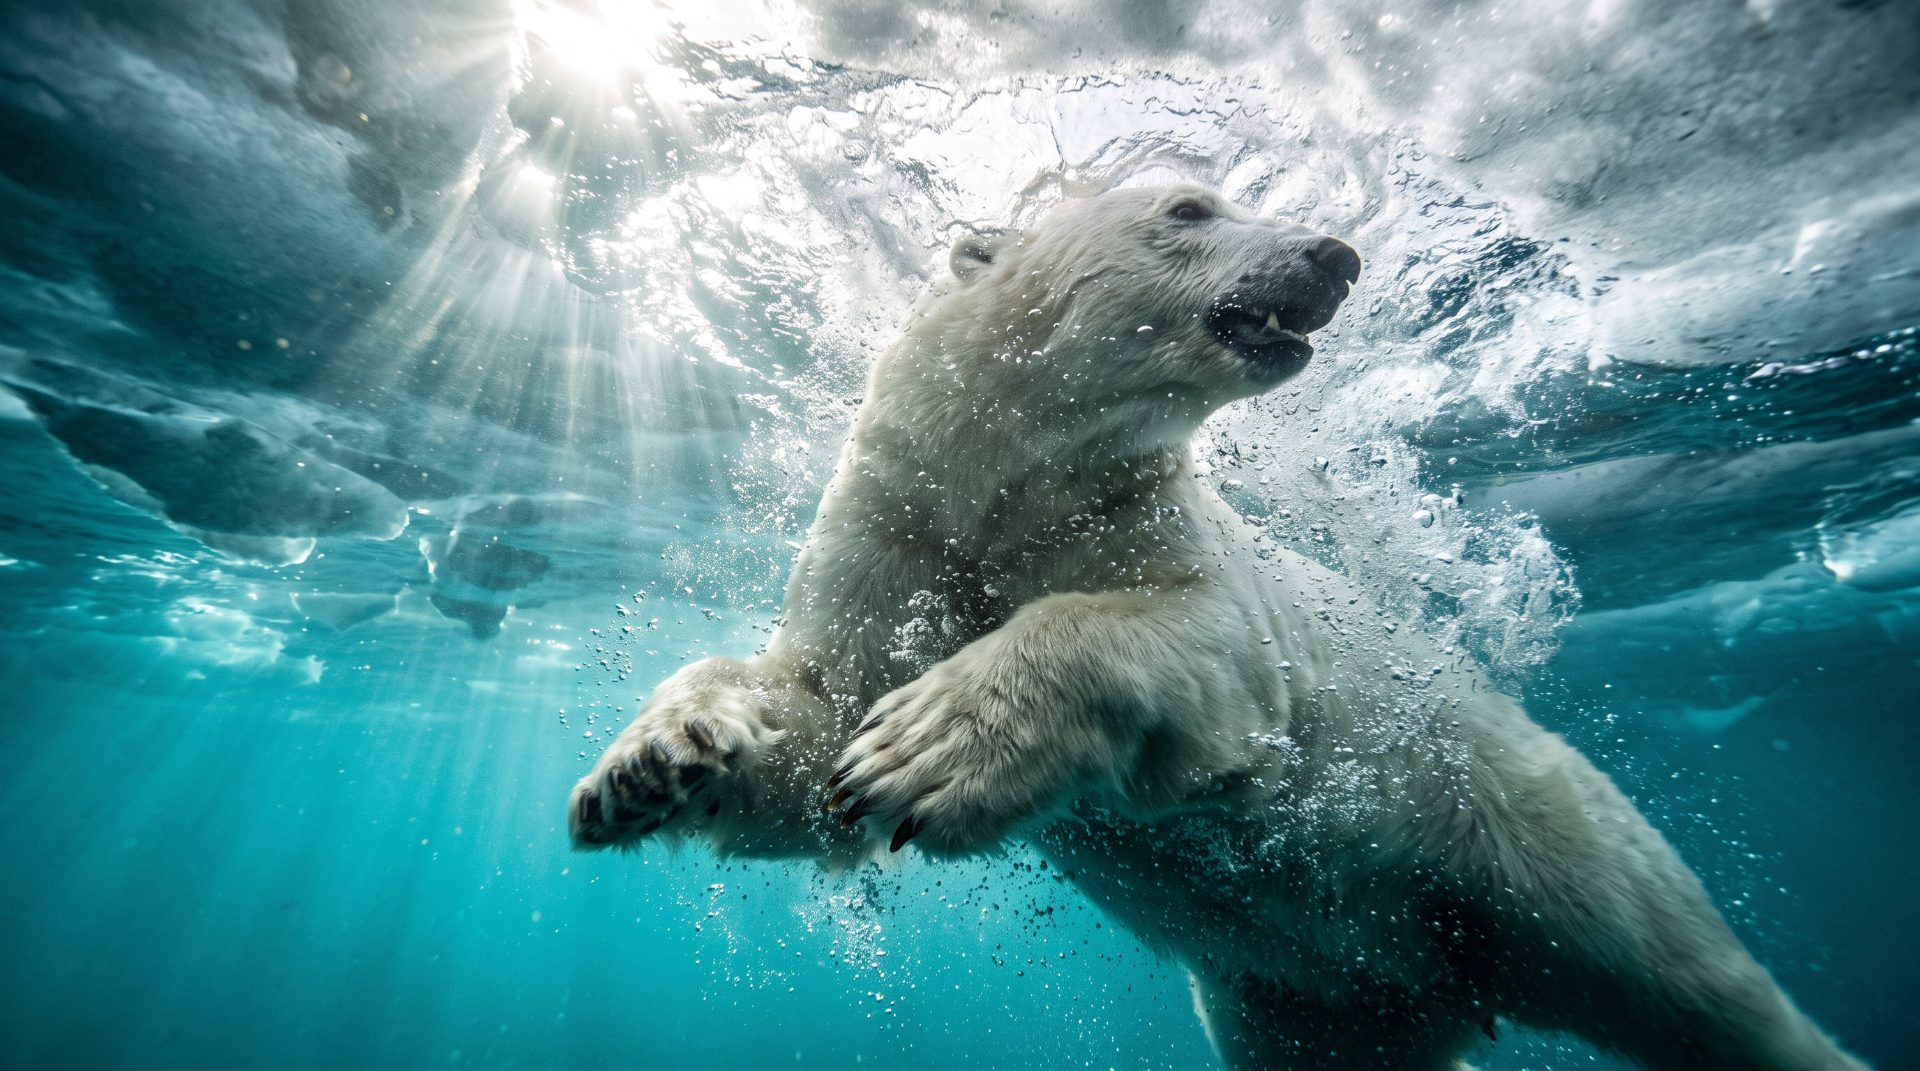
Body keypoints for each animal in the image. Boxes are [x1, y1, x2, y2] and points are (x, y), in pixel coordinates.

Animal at [568, 184, 1866, 1070]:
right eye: (1189, 207)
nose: (1337, 254)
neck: (1012, 477)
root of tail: (1440, 977)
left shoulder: (1159, 533)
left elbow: (1195, 642)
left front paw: (931, 746)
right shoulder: (902, 522)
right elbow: (815, 716)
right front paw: (648, 765)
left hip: (1519, 814)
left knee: (1689, 982)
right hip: (1297, 1001)